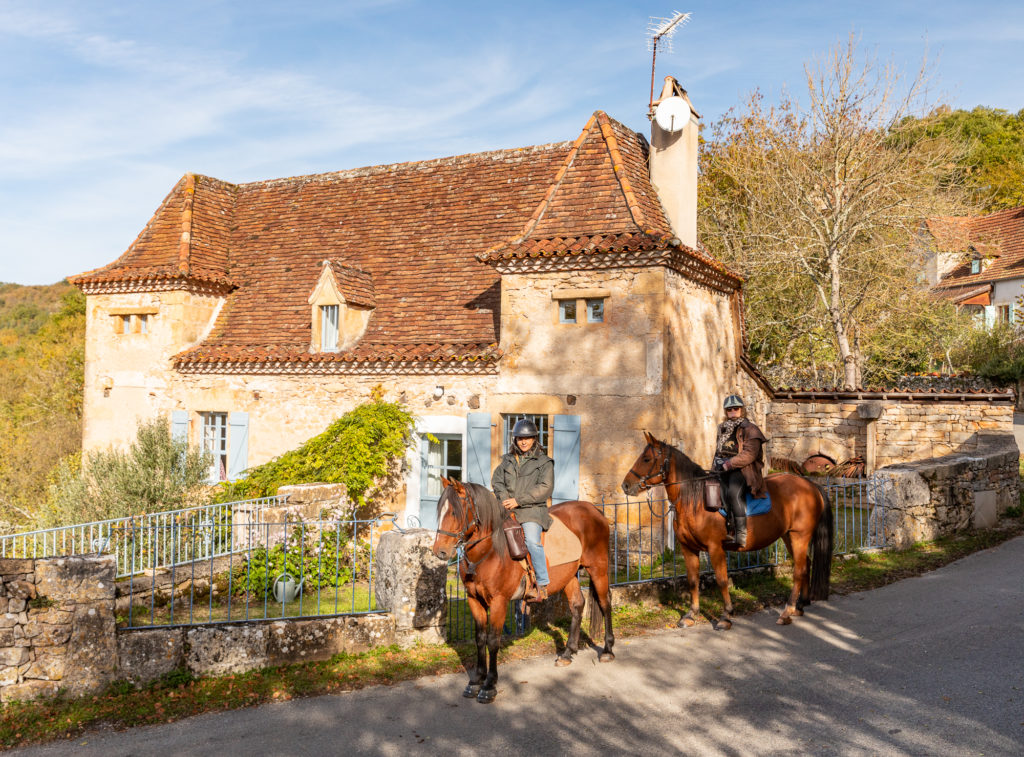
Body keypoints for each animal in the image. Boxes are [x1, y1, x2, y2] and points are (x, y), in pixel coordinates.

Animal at [428, 479, 610, 704]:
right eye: (440, 511)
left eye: (454, 512)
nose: (440, 552)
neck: (490, 551)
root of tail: (594, 511)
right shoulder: (474, 600)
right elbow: (480, 639)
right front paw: (476, 680)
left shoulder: (499, 601)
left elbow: (492, 641)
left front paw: (489, 685)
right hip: (569, 576)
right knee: (577, 605)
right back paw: (567, 653)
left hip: (598, 569)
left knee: (605, 604)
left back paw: (608, 651)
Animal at [614, 432, 831, 626]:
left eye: (646, 458)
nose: (626, 485)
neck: (695, 499)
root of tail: (810, 484)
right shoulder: (688, 548)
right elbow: (693, 580)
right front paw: (692, 614)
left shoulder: (715, 548)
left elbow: (722, 580)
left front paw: (726, 615)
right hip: (788, 536)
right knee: (806, 565)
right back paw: (800, 606)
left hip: (799, 536)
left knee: (799, 570)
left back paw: (787, 611)